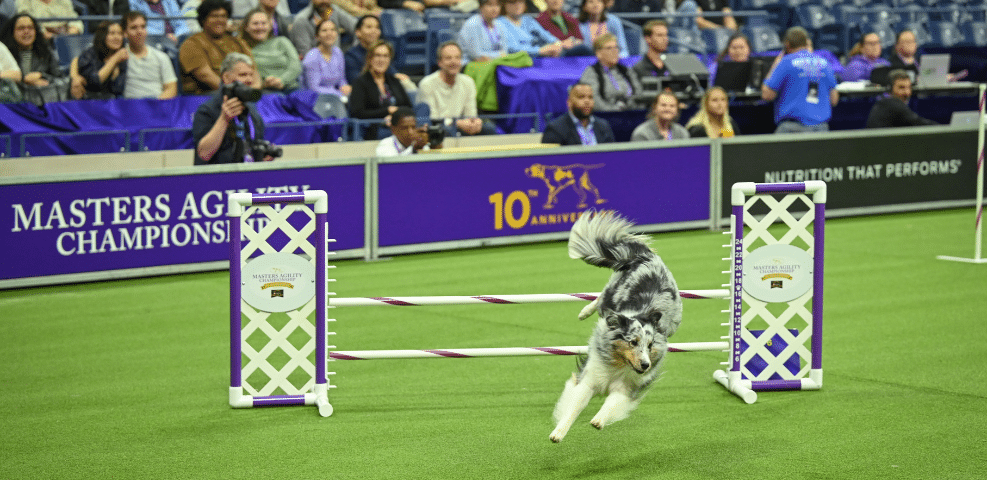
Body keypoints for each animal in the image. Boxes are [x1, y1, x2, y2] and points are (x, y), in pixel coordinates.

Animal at [548, 212, 680, 444]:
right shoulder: (590, 378)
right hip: (610, 293)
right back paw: (584, 312)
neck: (619, 363)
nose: (645, 364)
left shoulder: (626, 386)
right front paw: (558, 432)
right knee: (600, 299)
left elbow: (612, 403)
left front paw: (598, 420)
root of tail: (646, 257)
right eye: (633, 342)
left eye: (650, 345)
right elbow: (574, 407)